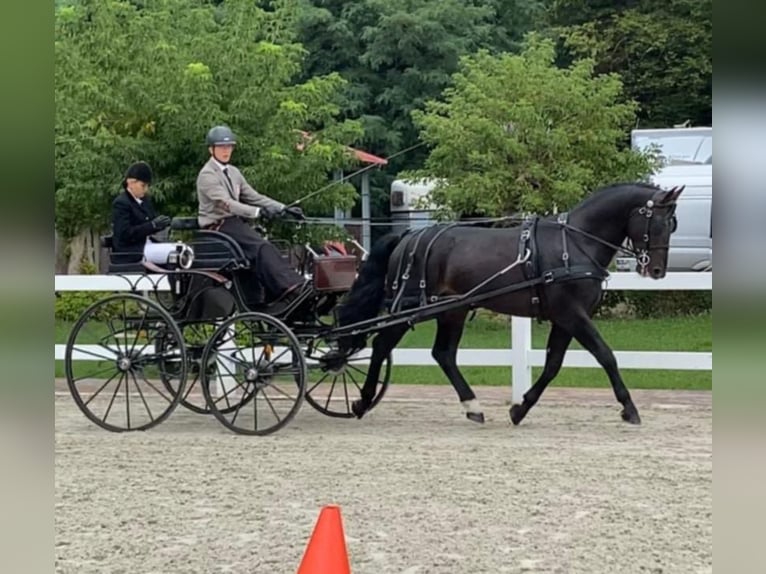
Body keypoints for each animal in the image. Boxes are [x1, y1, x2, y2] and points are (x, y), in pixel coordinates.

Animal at [331, 182, 683, 426]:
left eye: (672, 224)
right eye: (658, 223)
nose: (657, 271)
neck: (575, 242)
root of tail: (407, 238)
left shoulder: (564, 318)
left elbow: (553, 364)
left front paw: (520, 408)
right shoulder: (572, 314)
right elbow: (606, 355)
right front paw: (629, 408)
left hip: (452, 310)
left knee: (443, 354)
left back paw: (472, 406)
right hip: (408, 307)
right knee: (382, 345)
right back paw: (362, 401)